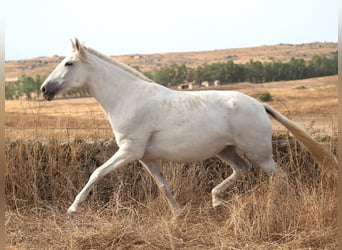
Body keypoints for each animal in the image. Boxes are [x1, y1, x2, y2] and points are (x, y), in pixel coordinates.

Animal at [40, 38, 336, 215]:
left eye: (68, 63)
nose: (44, 90)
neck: (128, 97)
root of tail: (260, 105)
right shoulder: (145, 158)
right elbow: (163, 186)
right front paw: (178, 214)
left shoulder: (128, 151)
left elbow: (96, 173)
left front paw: (72, 209)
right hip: (226, 150)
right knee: (242, 169)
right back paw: (216, 200)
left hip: (259, 153)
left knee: (280, 176)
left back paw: (282, 205)